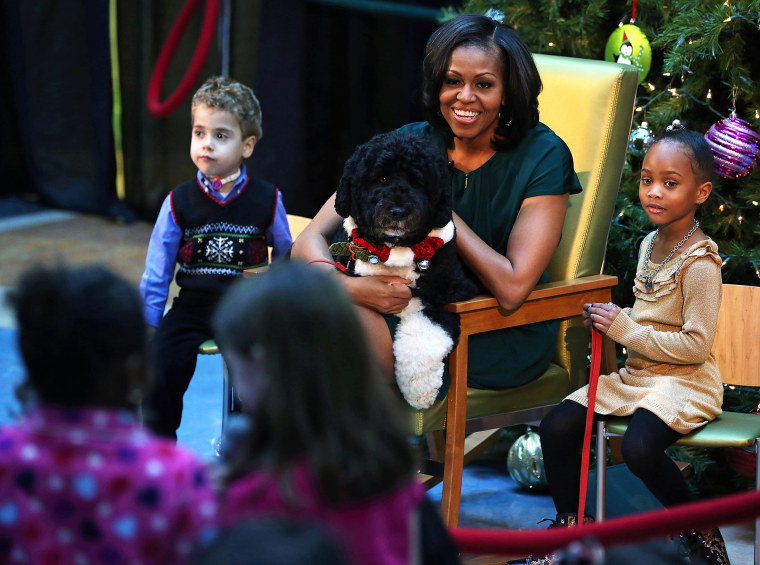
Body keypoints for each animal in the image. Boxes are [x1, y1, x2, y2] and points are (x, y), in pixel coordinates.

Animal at [332, 131, 478, 408]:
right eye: (382, 178)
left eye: (417, 182)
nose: (398, 211)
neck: (393, 252)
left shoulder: (447, 295)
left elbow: (425, 335)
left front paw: (420, 390)